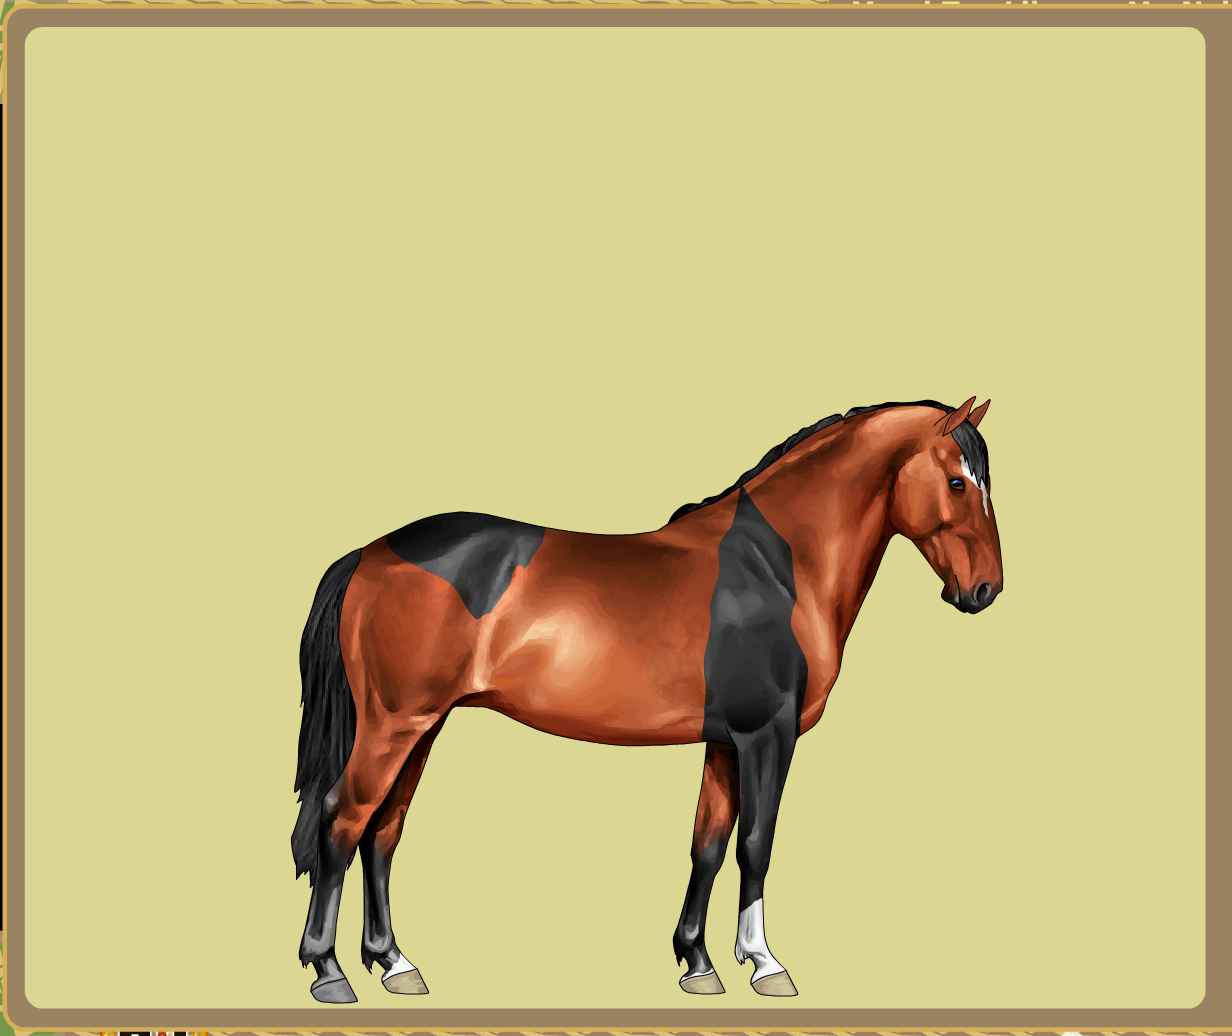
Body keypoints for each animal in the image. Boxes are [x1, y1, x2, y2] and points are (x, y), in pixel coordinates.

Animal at [291, 396, 1003, 1003]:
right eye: (959, 482)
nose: (985, 590)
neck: (779, 565)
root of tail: (372, 553)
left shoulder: (725, 741)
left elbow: (708, 843)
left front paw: (699, 963)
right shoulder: (767, 735)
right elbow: (756, 844)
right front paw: (765, 964)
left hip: (423, 726)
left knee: (384, 831)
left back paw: (394, 964)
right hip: (394, 724)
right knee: (342, 820)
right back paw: (330, 972)